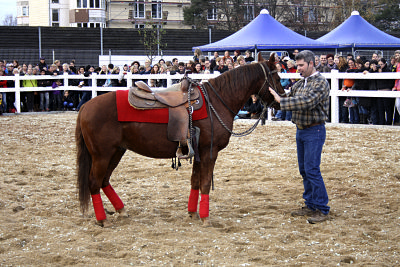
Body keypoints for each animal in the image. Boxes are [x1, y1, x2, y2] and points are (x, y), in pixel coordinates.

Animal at [76, 54, 284, 226]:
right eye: (277, 78)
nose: (281, 98)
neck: (216, 102)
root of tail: (86, 106)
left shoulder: (198, 153)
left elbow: (195, 181)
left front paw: (193, 213)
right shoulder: (210, 152)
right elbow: (205, 183)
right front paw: (205, 218)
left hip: (117, 151)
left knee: (104, 181)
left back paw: (121, 210)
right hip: (102, 155)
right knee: (94, 182)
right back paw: (102, 219)